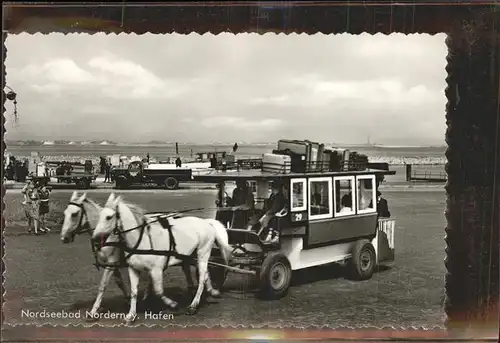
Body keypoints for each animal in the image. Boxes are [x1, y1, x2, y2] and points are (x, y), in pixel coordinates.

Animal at [59, 192, 196, 318]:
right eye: (65, 213)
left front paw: (93, 310)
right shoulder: (112, 264)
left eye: (74, 214)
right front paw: (129, 298)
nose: (64, 238)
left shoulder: (112, 262)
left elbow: (103, 284)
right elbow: (119, 282)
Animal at [92, 196, 232, 322]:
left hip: (203, 253)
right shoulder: (133, 268)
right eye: (100, 215)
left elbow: (159, 291)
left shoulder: (156, 270)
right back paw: (211, 291)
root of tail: (207, 222)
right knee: (204, 274)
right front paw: (131, 315)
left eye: (109, 217)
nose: (95, 239)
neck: (141, 240)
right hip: (191, 255)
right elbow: (133, 291)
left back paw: (193, 305)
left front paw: (172, 304)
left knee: (202, 277)